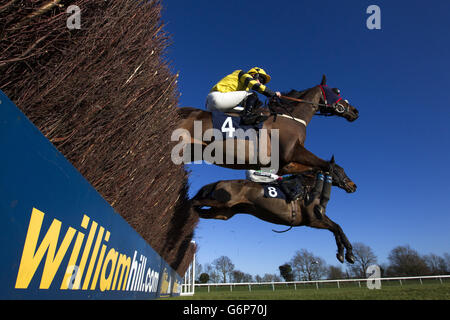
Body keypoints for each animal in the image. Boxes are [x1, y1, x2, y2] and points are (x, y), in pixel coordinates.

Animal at [175, 74, 358, 190]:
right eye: (336, 91)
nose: (355, 111)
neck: (291, 117)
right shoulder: (292, 152)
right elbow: (329, 164)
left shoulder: (286, 164)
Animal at [189, 158, 356, 264]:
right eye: (339, 171)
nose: (353, 186)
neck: (309, 187)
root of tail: (219, 182)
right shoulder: (313, 220)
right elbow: (336, 227)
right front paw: (348, 253)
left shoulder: (318, 218)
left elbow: (337, 228)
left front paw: (343, 254)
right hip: (222, 202)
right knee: (194, 202)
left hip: (222, 212)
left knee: (200, 211)